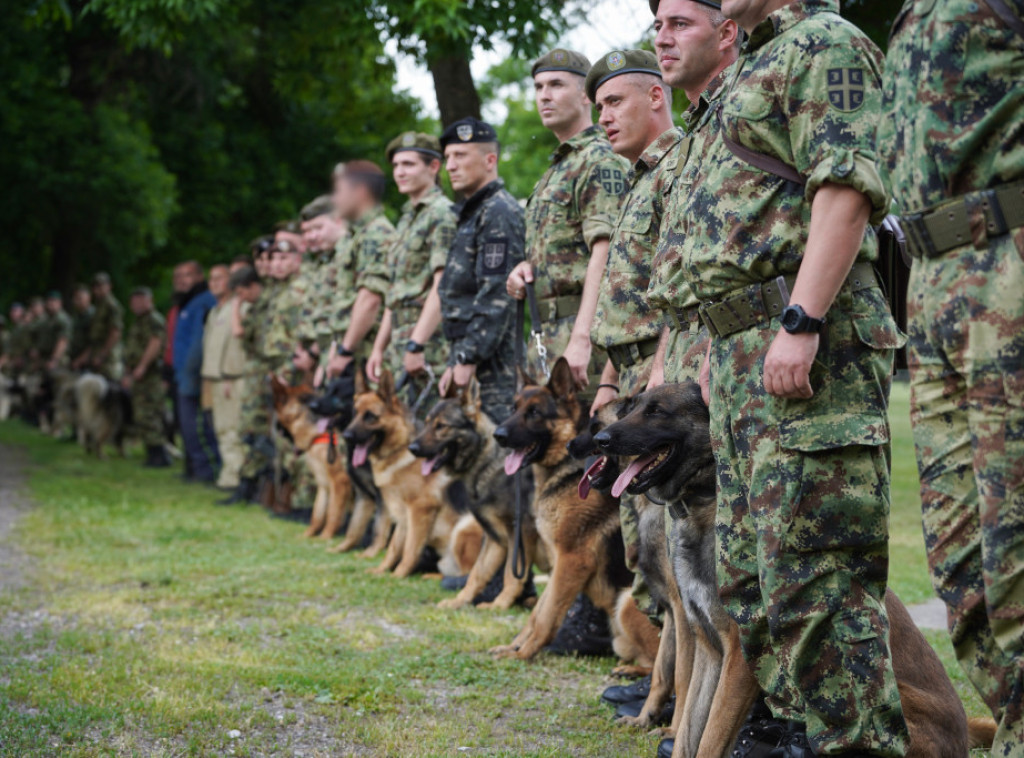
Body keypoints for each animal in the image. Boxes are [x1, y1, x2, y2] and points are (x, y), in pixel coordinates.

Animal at [344, 370, 456, 577]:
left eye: (370, 416)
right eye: (355, 414)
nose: (346, 437)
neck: (401, 448)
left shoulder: (420, 509)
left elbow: (410, 549)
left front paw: (398, 576)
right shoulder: (402, 513)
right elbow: (394, 547)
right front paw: (381, 571)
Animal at [407, 376, 540, 610]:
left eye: (441, 426)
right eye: (428, 422)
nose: (412, 448)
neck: (485, 461)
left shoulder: (519, 533)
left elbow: (511, 575)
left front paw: (500, 605)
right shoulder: (495, 538)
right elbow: (477, 574)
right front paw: (459, 601)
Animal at [487, 358, 655, 667]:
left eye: (535, 413)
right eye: (514, 409)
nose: (498, 436)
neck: (563, 469)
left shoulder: (572, 559)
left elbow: (547, 616)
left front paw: (524, 654)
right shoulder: (557, 561)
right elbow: (537, 613)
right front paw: (514, 646)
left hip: (627, 602)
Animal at [598, 381, 995, 758]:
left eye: (657, 411)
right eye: (631, 408)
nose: (601, 439)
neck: (705, 508)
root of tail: (962, 736)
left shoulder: (740, 658)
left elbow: (710, 738)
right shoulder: (708, 651)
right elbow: (687, 732)